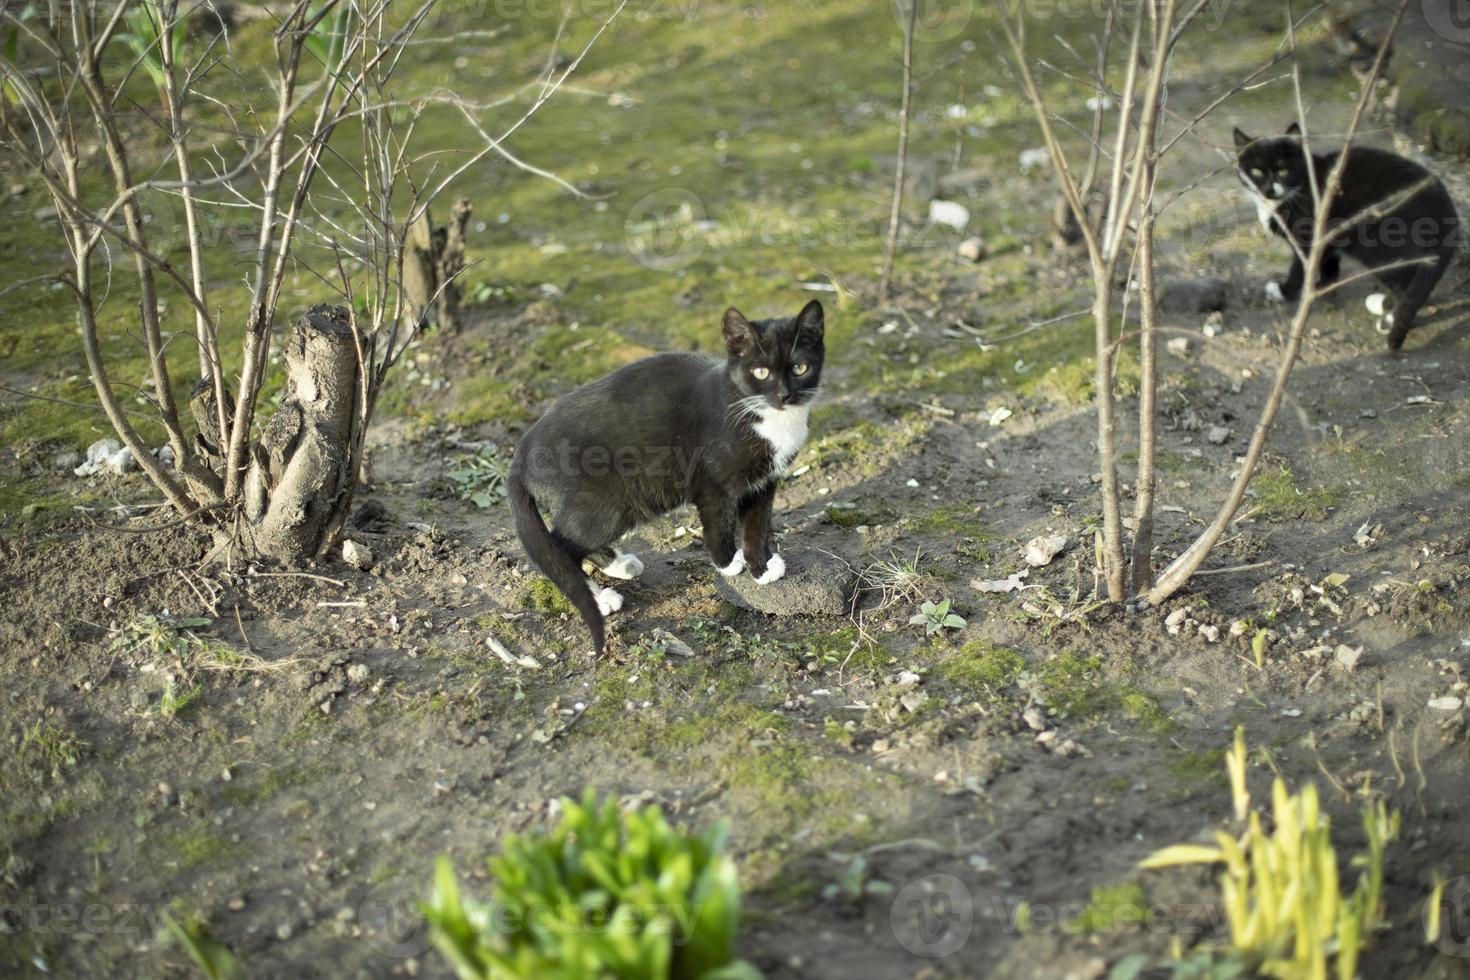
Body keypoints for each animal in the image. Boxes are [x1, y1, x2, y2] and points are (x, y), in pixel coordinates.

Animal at [505, 299, 829, 652]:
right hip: (604, 505)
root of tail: (521, 451)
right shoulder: (712, 484)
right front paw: (729, 563)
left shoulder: (763, 484)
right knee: (560, 547)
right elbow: (720, 522)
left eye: (800, 368)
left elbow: (757, 525)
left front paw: (763, 567)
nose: (784, 395)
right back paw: (599, 598)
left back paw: (620, 564)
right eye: (761, 372)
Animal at [1228, 124, 1458, 348]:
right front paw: (1323, 287)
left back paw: (1388, 313)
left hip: (1376, 245)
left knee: (1404, 284)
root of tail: (1448, 215)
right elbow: (1328, 264)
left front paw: (1285, 291)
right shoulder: (1328, 239)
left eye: (1283, 171)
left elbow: (1299, 269)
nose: (1269, 190)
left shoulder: (1308, 239)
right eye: (1256, 171)